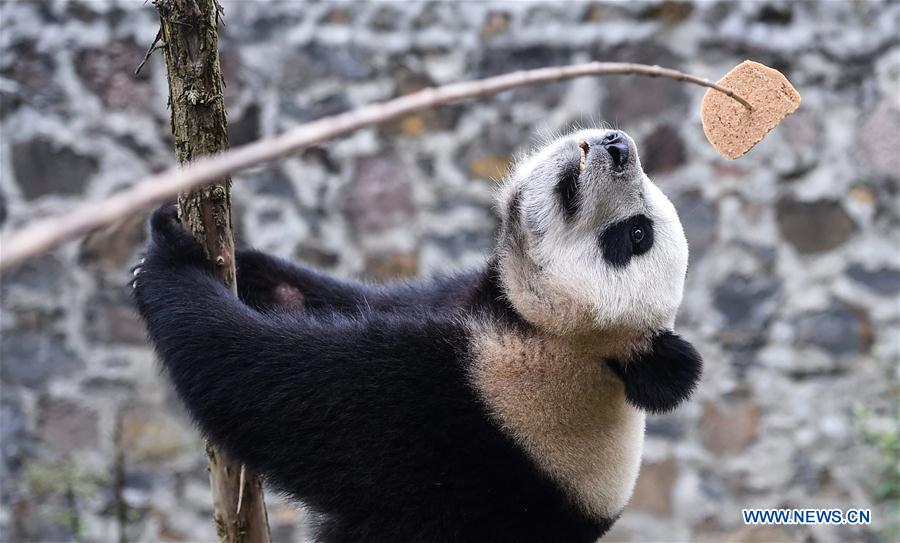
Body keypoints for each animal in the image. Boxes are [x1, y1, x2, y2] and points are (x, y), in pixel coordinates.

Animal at [132, 128, 702, 543]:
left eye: (636, 234)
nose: (618, 145)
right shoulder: (452, 302)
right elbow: (332, 301)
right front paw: (236, 261)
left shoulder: (479, 410)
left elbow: (268, 387)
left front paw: (167, 262)